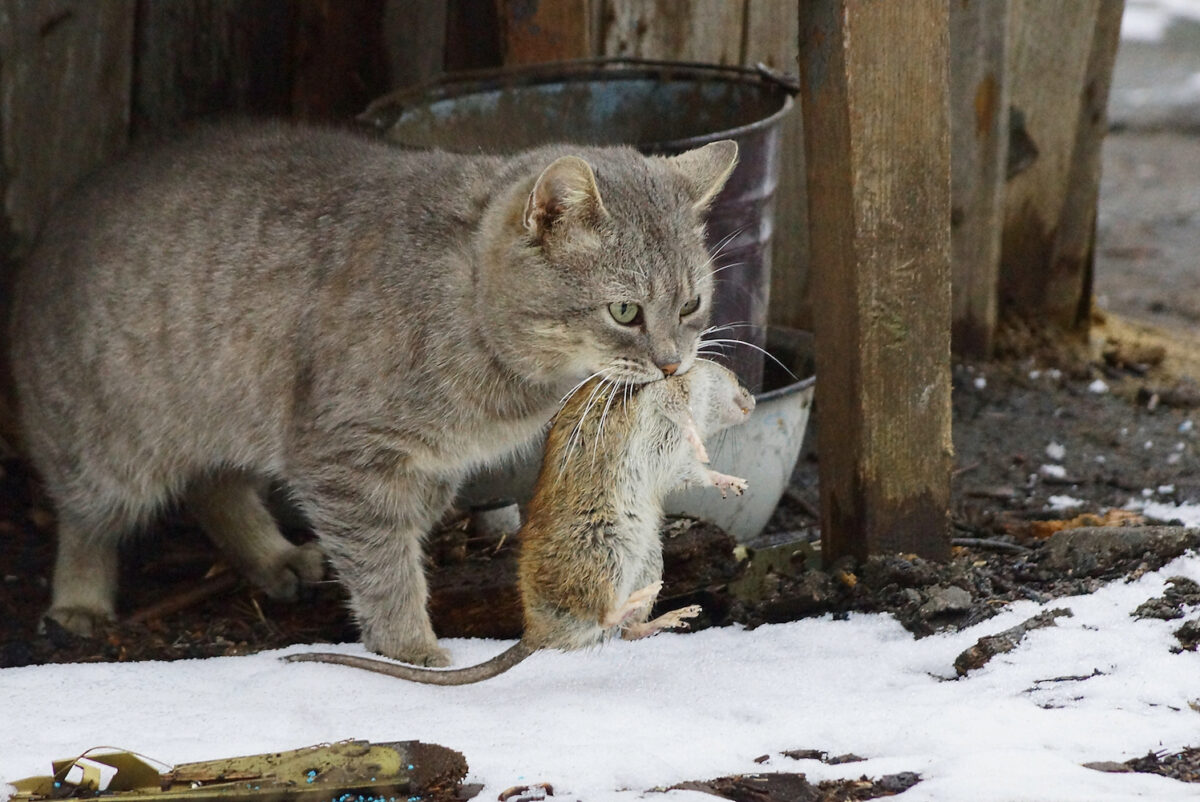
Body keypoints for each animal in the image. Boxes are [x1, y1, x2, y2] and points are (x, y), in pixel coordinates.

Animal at [9, 122, 734, 667]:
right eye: (624, 311)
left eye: (692, 304)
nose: (673, 363)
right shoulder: (343, 458)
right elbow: (383, 564)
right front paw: (410, 647)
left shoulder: (433, 464)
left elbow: (403, 538)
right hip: (107, 449)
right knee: (88, 519)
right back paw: (78, 601)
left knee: (215, 486)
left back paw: (272, 556)